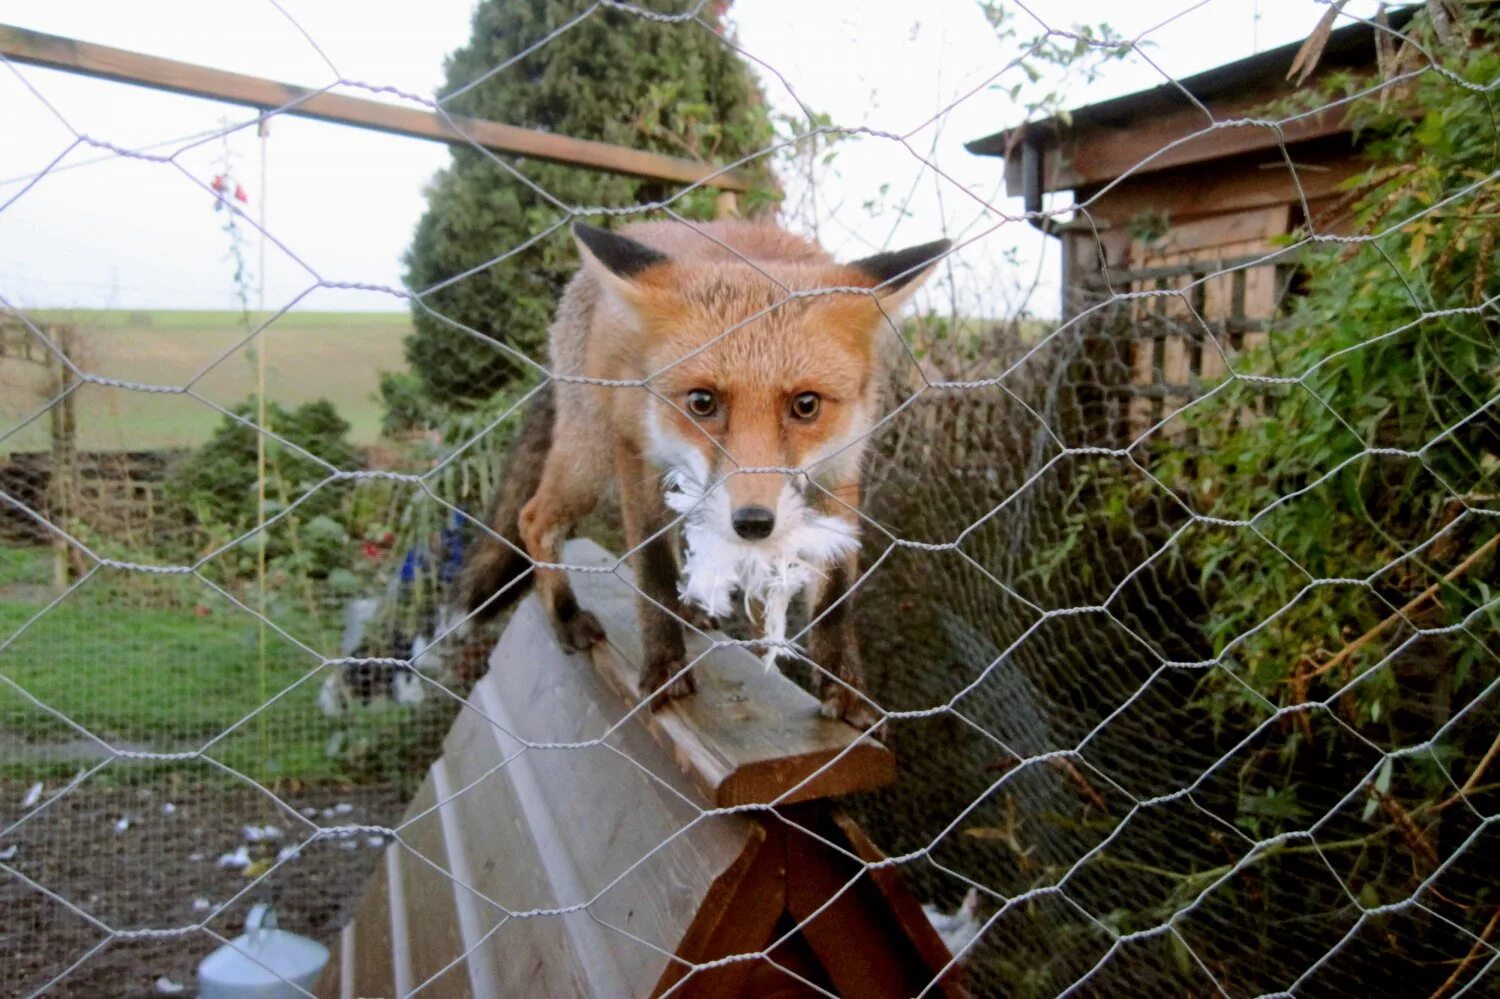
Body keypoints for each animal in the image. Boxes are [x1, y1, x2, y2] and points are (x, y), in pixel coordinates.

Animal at [456, 220, 948, 723]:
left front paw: (844, 688)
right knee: (533, 518)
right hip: (591, 460)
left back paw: (687, 612)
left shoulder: (841, 468)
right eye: (702, 401)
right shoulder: (637, 452)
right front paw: (664, 666)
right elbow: (652, 567)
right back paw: (566, 616)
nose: (753, 523)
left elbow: (835, 595)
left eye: (806, 405)